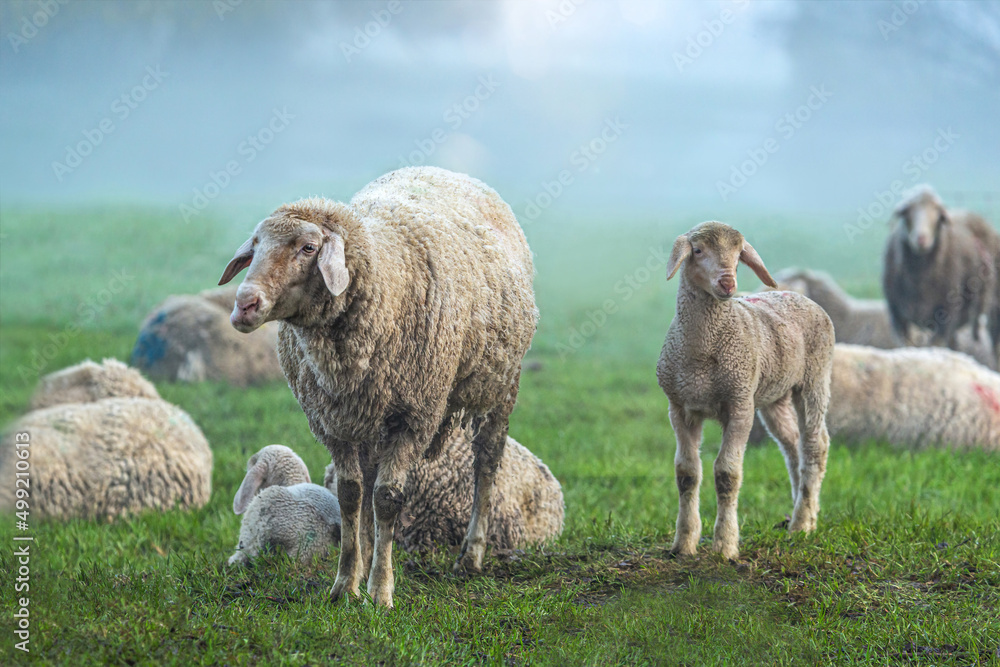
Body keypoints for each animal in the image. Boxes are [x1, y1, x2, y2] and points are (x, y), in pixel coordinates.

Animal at [218, 166, 538, 607]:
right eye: (256, 246)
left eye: (308, 247)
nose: (244, 305)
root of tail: (444, 170)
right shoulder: (334, 420)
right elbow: (351, 494)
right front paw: (345, 584)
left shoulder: (414, 416)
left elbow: (387, 499)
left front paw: (382, 590)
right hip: (370, 416)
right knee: (366, 482)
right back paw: (368, 556)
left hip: (501, 384)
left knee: (487, 462)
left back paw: (470, 555)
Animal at [656, 221, 835, 560]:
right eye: (697, 250)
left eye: (739, 254)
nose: (727, 283)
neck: (702, 351)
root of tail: (797, 295)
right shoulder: (680, 407)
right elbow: (686, 473)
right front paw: (684, 543)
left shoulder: (739, 405)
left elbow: (727, 474)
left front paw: (725, 546)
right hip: (774, 395)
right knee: (792, 445)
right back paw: (806, 513)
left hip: (815, 379)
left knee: (814, 446)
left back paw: (801, 524)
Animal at [883, 184, 1000, 362]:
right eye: (908, 211)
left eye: (938, 215)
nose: (921, 238)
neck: (918, 280)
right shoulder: (897, 316)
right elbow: (908, 347)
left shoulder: (946, 314)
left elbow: (935, 346)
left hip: (992, 311)